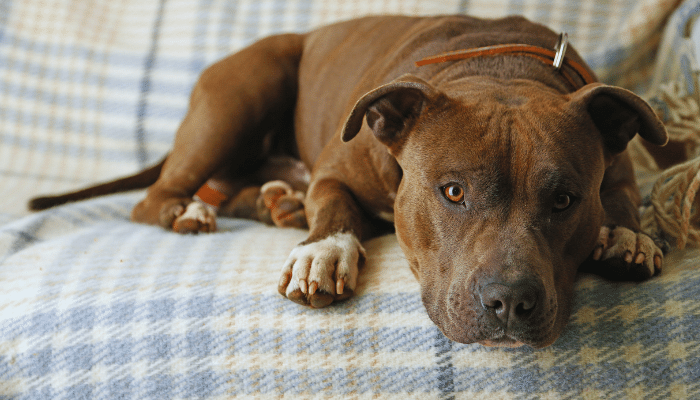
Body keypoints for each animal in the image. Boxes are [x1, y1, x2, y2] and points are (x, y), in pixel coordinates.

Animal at [30, 14, 668, 346]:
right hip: (242, 93)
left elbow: (624, 200)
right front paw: (324, 253)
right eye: (453, 192)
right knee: (157, 195)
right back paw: (192, 210)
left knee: (236, 186)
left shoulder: (618, 162)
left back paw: (277, 203)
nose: (509, 301)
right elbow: (334, 209)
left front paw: (627, 236)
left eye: (564, 199)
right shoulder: (335, 171)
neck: (496, 70)